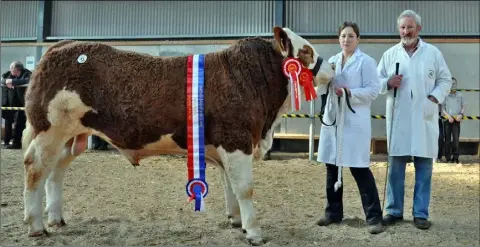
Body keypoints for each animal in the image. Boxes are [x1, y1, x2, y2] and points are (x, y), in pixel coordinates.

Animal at [19, 27, 334, 245]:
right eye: (306, 51)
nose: (332, 68)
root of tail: (61, 46)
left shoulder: (225, 145)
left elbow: (230, 186)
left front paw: (236, 221)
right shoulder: (237, 139)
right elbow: (245, 188)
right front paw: (254, 232)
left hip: (71, 136)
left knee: (56, 172)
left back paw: (56, 218)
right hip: (51, 130)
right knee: (36, 167)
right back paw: (36, 225)